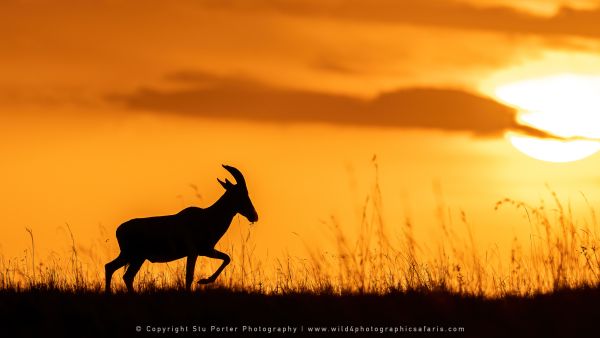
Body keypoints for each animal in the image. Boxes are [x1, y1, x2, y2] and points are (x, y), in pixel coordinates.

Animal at [103, 165, 258, 292]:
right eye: (242, 194)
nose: (254, 216)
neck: (208, 216)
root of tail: (119, 230)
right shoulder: (194, 252)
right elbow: (189, 276)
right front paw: (202, 281)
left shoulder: (206, 250)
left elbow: (227, 258)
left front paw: (204, 280)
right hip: (133, 255)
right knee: (117, 271)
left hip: (136, 257)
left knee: (118, 272)